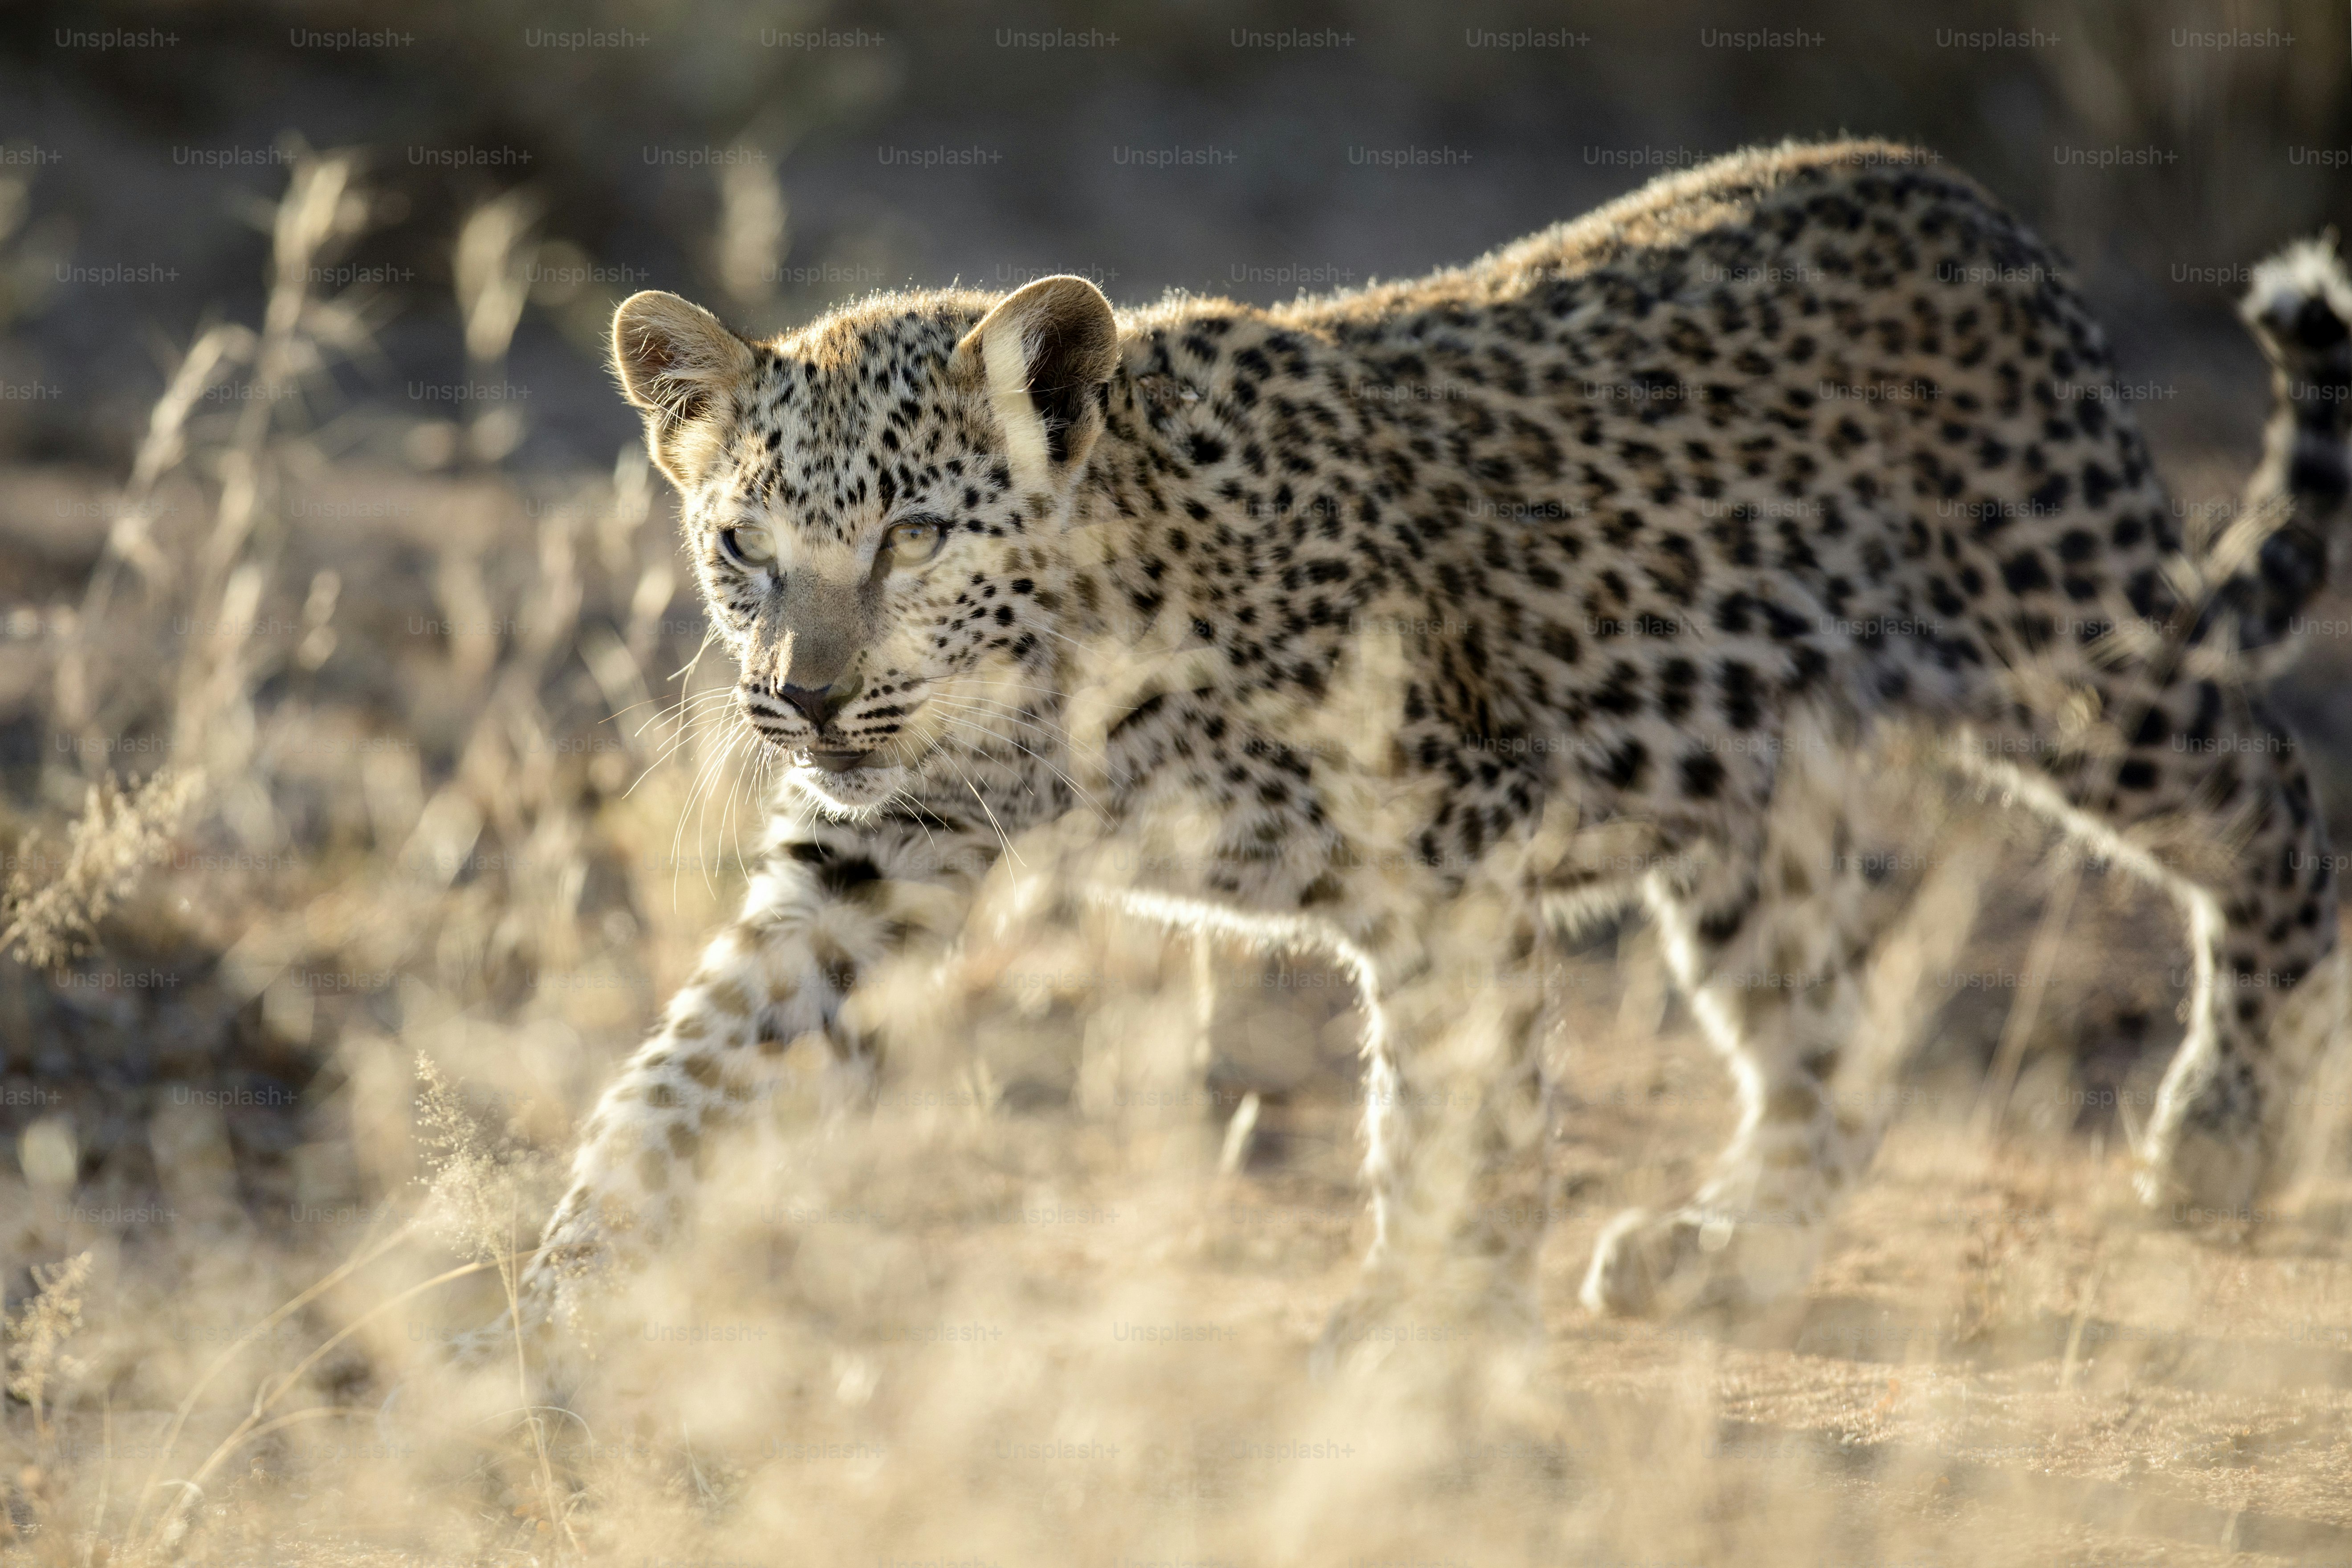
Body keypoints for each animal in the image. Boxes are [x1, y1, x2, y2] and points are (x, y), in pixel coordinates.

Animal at [470, 138, 2352, 1371]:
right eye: (739, 545)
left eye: (914, 539)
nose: (799, 695)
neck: (1055, 699)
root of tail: (1967, 204)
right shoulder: (869, 858)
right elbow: (691, 1063)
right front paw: (557, 1300)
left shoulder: (1454, 852)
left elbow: (1453, 1104)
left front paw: (1425, 1324)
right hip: (1754, 803)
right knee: (1823, 1035)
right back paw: (1729, 1246)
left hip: (2072, 652)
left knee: (2275, 816)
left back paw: (2220, 1132)